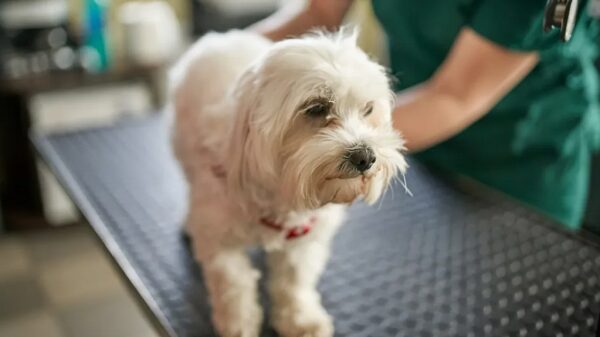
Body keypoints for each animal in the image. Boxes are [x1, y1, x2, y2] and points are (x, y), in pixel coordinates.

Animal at [169, 29, 408, 336]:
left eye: (368, 110)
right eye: (316, 108)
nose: (365, 156)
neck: (281, 197)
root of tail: (221, 36)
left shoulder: (304, 237)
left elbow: (293, 281)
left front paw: (300, 319)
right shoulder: (219, 238)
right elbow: (233, 284)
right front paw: (239, 323)